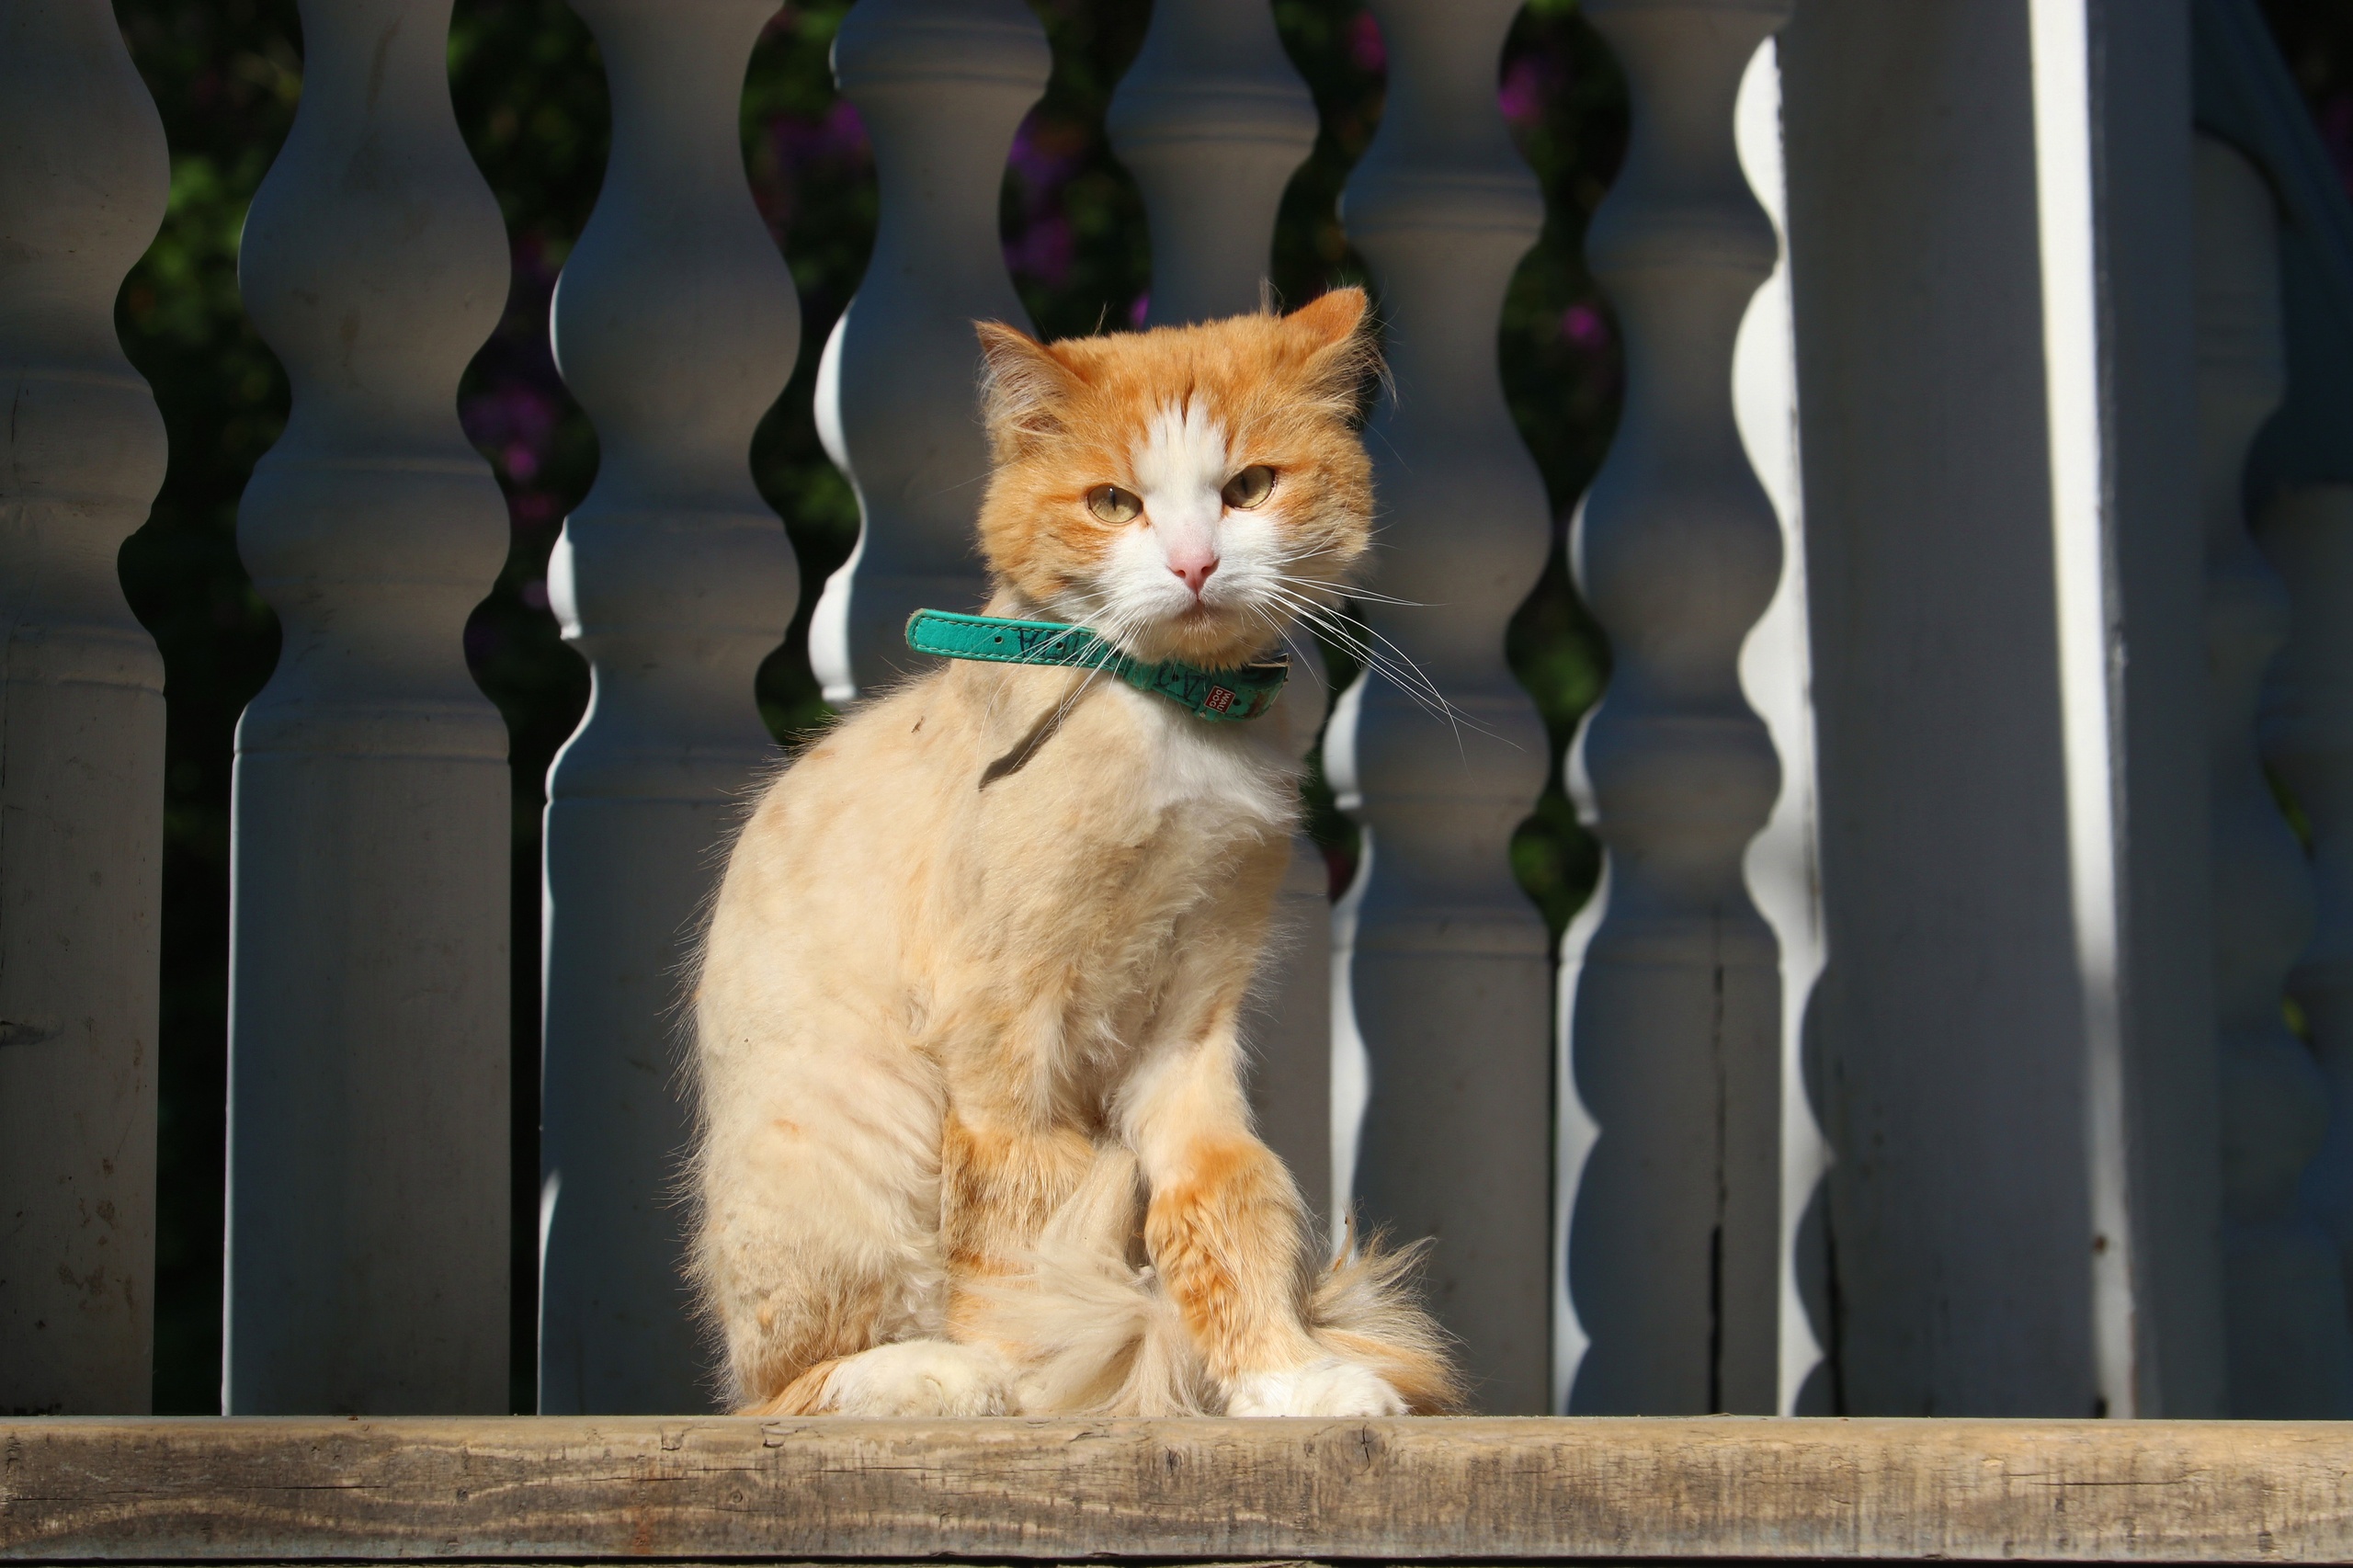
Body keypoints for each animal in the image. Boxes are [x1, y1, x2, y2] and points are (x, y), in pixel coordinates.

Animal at [687, 287, 1458, 1418]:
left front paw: (1285, 1378)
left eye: (1249, 488)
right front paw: (1039, 1377)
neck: (1172, 720)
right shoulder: (1003, 1036)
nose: (1193, 565)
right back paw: (932, 1372)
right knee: (785, 1387)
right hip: (844, 1163)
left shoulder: (1192, 1021)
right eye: (1111, 503)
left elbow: (1225, 1201)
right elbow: (1024, 1221)